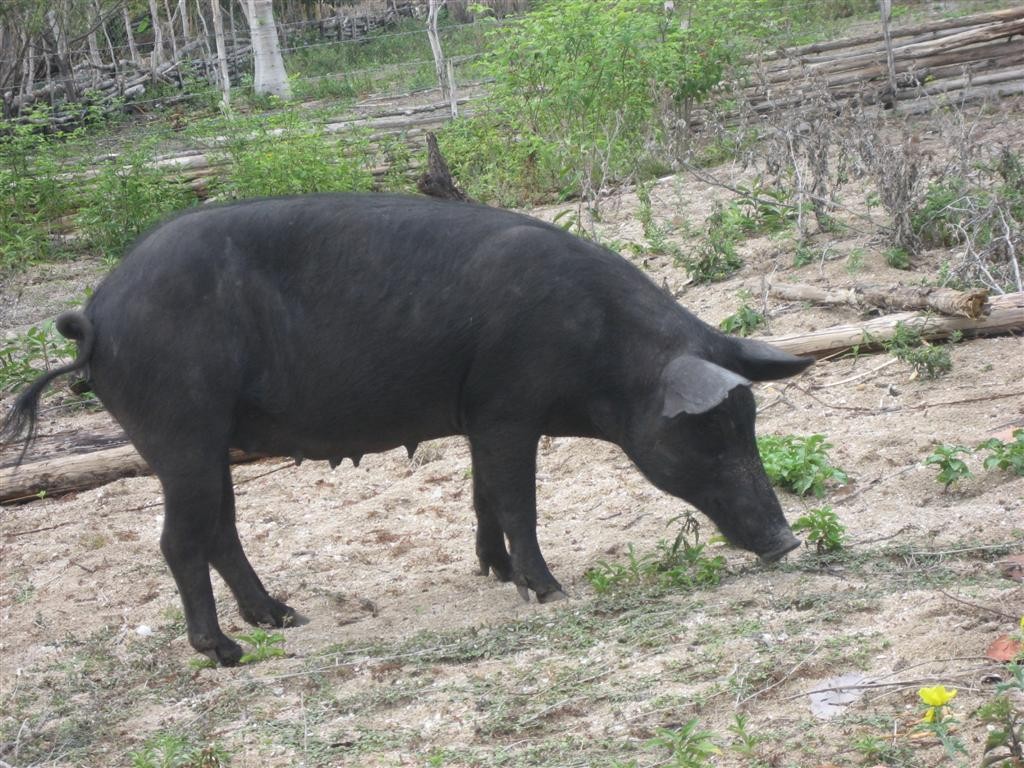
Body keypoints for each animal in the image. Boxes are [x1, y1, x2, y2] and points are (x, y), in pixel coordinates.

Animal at [1, 193, 813, 665]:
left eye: (750, 422)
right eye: (711, 432)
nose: (787, 541)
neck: (605, 353)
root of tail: (95, 316)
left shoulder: (481, 416)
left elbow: (484, 497)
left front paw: (496, 574)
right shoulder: (508, 407)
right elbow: (518, 501)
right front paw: (549, 592)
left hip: (210, 439)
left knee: (220, 532)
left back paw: (284, 619)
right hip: (179, 431)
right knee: (177, 541)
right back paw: (227, 652)